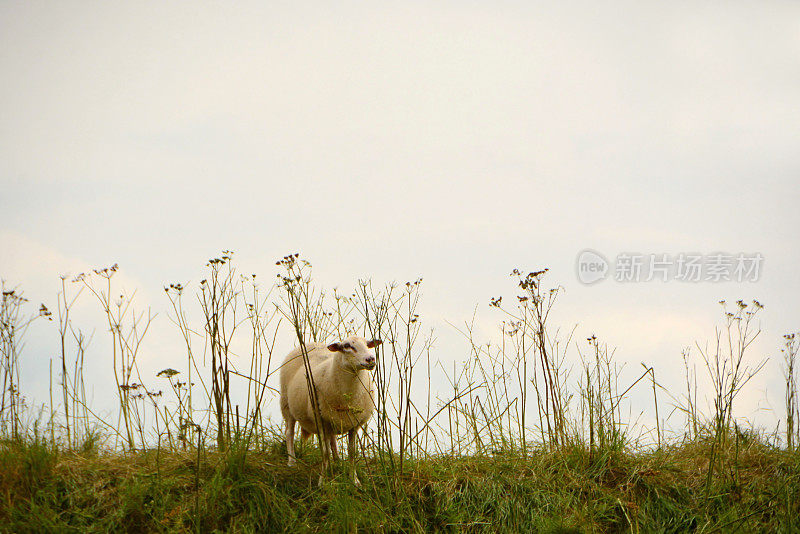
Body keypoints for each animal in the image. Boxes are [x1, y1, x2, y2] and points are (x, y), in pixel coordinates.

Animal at [282, 338, 382, 488]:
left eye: (367, 344)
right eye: (347, 346)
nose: (370, 359)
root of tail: (312, 343)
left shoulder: (354, 424)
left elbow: (352, 452)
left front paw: (355, 480)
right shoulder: (321, 422)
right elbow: (325, 452)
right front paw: (322, 481)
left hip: (332, 419)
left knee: (332, 439)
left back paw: (337, 461)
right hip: (286, 404)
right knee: (289, 433)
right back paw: (292, 461)